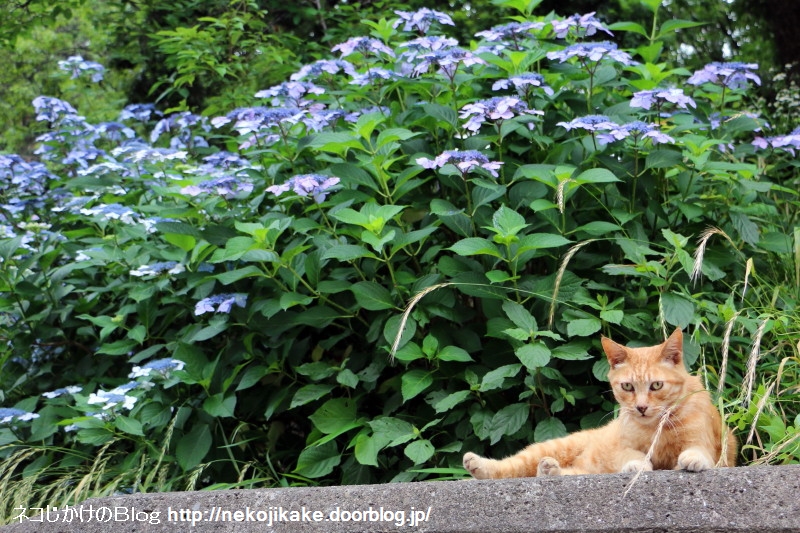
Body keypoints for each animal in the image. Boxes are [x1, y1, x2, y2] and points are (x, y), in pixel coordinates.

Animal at [462, 328, 736, 478]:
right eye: (628, 387)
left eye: (656, 386)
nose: (641, 407)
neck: (655, 429)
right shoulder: (623, 448)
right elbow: (632, 455)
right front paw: (637, 464)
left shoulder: (706, 444)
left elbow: (697, 452)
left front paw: (691, 459)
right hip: (552, 448)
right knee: (510, 467)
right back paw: (478, 464)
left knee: (564, 473)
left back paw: (549, 470)